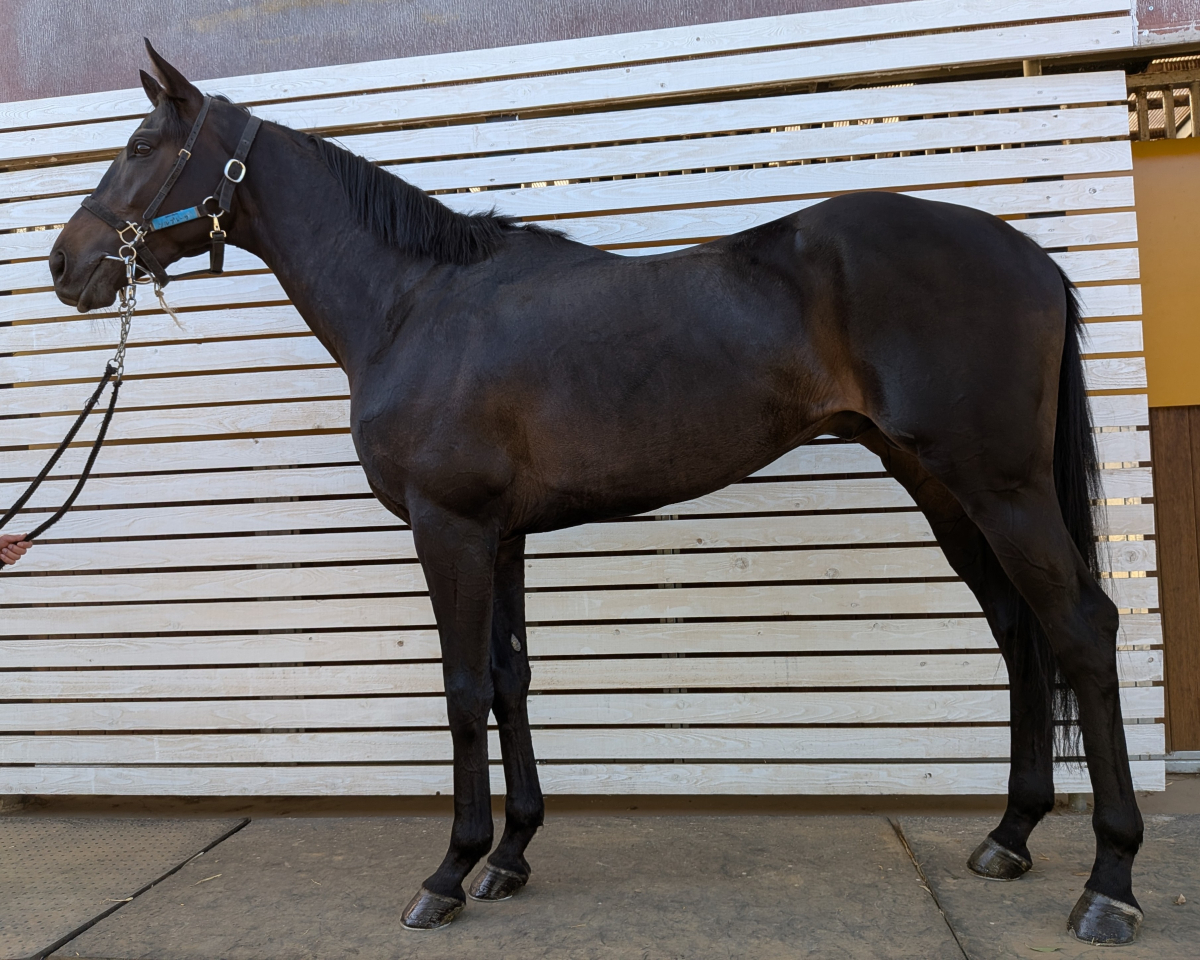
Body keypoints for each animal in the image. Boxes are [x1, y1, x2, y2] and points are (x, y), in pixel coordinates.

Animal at [48, 42, 1144, 944]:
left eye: (142, 144)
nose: (66, 266)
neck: (414, 305)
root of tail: (1029, 255)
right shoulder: (500, 534)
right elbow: (509, 680)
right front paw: (511, 856)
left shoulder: (448, 529)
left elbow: (460, 689)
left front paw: (448, 873)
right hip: (944, 487)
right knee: (1020, 632)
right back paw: (1010, 837)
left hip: (997, 485)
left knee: (1082, 628)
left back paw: (1110, 884)